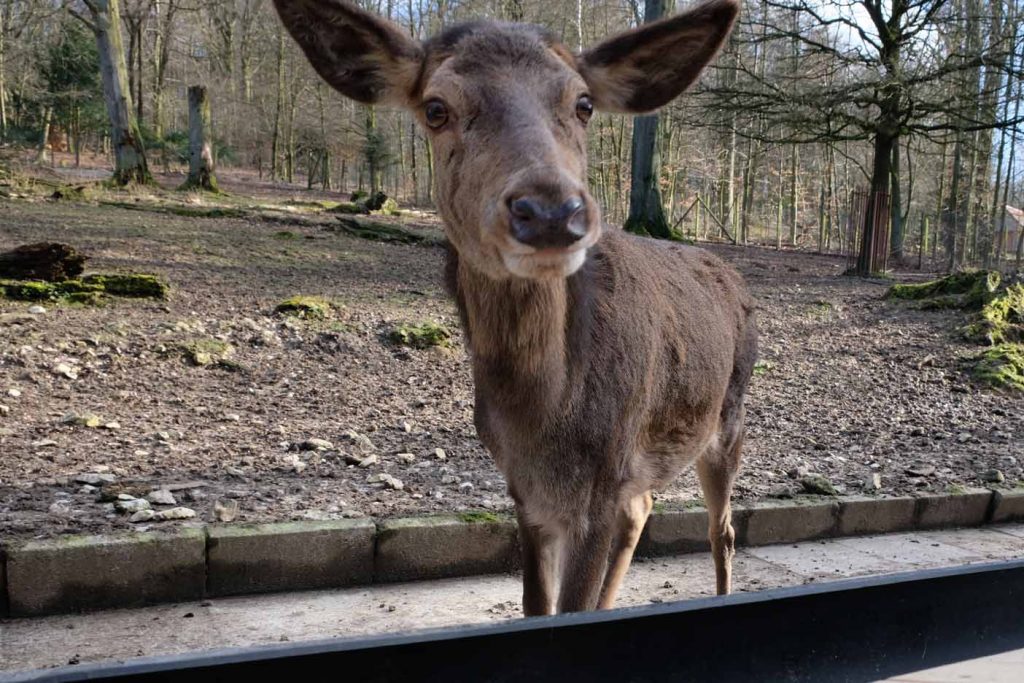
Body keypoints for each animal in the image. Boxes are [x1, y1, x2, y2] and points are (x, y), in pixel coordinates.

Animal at [276, 0, 757, 614]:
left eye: (583, 104)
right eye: (436, 108)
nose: (551, 211)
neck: (546, 416)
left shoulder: (599, 483)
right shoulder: (526, 492)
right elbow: (535, 604)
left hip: (727, 421)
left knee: (723, 529)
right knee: (644, 508)